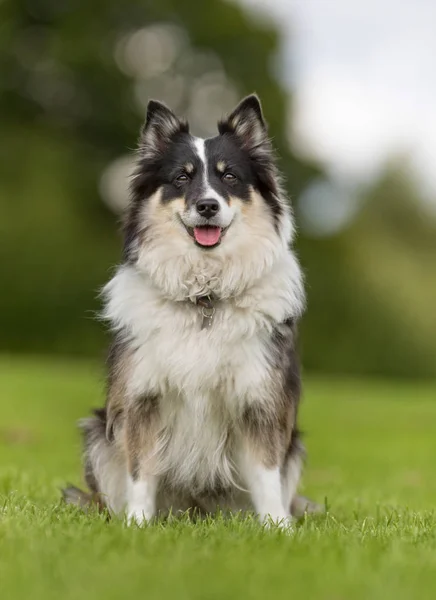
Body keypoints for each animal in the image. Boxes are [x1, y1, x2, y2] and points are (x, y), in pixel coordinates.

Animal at [63, 92, 318, 524]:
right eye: (181, 178)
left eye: (229, 177)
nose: (207, 206)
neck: (205, 296)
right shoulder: (142, 396)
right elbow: (140, 472)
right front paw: (136, 525)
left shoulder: (260, 399)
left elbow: (267, 475)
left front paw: (277, 528)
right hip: (97, 431)